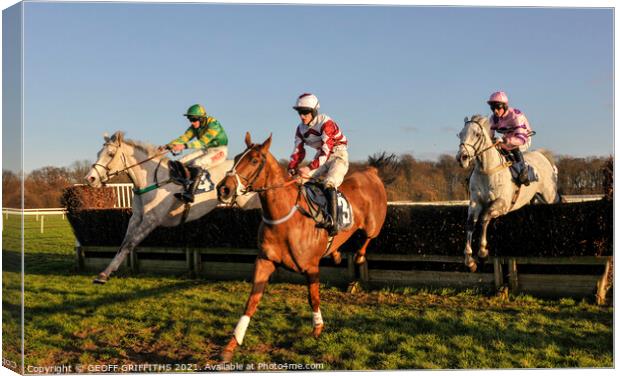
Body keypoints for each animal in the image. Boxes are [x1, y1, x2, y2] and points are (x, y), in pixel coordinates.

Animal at [85, 131, 260, 284]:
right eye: (99, 152)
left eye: (110, 154)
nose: (90, 178)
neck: (151, 179)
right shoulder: (135, 218)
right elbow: (123, 244)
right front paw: (105, 273)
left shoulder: (151, 220)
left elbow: (130, 243)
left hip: (249, 201)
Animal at [218, 132, 390, 362]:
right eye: (237, 157)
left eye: (254, 160)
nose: (223, 189)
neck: (284, 217)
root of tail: (371, 172)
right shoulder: (265, 260)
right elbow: (251, 302)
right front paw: (232, 343)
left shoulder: (311, 267)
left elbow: (313, 298)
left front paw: (317, 328)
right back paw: (335, 253)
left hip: (373, 225)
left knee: (367, 239)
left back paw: (359, 256)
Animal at [456, 113, 560, 272]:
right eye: (460, 134)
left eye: (477, 134)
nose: (462, 158)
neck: (487, 169)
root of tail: (542, 155)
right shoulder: (475, 202)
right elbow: (470, 223)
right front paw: (469, 259)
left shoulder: (502, 203)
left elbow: (484, 218)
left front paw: (483, 253)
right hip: (535, 198)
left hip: (549, 196)